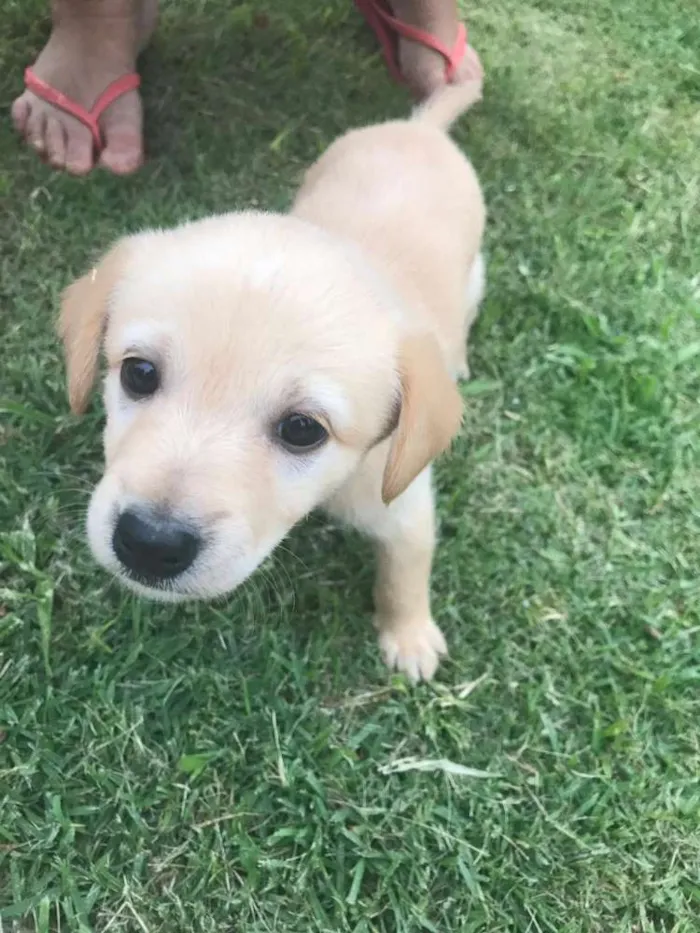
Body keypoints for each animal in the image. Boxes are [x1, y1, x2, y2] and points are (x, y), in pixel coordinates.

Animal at [60, 83, 486, 680]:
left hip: (476, 269)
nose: (148, 543)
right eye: (138, 373)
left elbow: (407, 566)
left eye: (303, 429)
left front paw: (410, 636)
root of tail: (420, 128)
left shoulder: (401, 500)